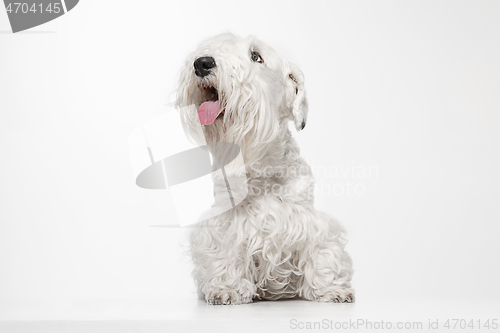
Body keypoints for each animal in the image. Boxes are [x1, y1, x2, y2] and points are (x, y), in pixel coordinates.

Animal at [176, 33, 356, 304]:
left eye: (256, 56)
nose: (202, 63)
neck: (261, 168)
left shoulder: (311, 223)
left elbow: (322, 252)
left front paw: (332, 289)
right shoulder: (224, 223)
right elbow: (226, 254)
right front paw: (227, 289)